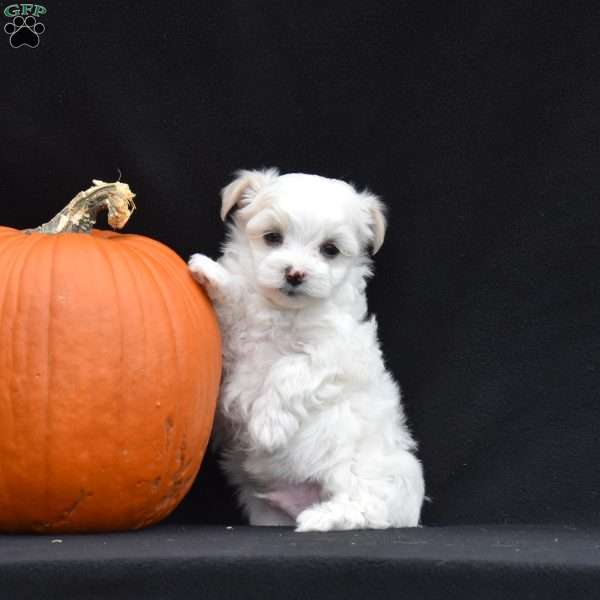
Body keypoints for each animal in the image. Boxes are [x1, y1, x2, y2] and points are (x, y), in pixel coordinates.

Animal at [190, 169, 424, 528]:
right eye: (273, 237)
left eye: (330, 249)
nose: (295, 273)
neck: (280, 312)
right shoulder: (233, 338)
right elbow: (238, 300)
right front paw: (213, 274)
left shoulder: (336, 351)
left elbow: (289, 368)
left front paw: (267, 426)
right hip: (269, 509)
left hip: (374, 472)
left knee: (368, 507)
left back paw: (321, 518)